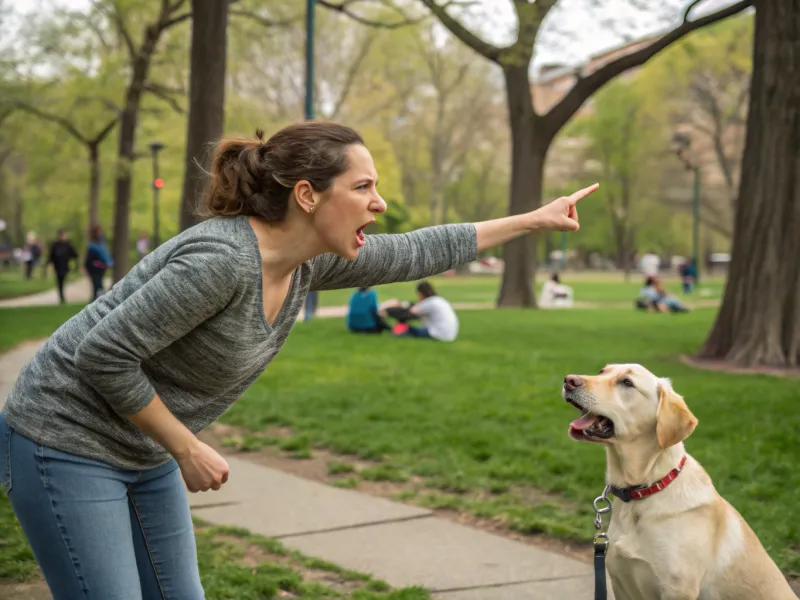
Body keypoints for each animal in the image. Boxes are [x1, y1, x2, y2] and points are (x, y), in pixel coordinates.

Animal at [560, 364, 796, 596]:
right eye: (602, 372)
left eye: (627, 382)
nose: (569, 380)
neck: (645, 488)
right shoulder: (621, 583)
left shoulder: (677, 589)